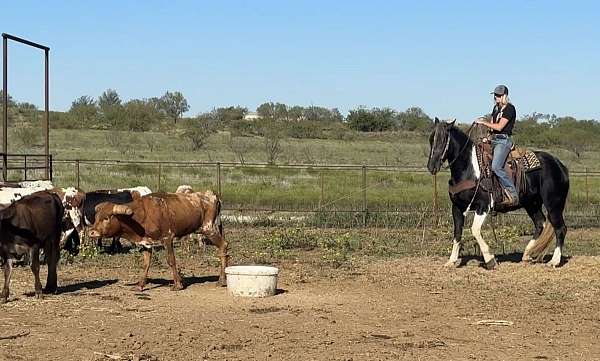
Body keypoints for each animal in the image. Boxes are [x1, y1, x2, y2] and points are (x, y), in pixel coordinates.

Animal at [89, 191, 227, 290]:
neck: (142, 214)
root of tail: (212, 195)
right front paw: (140, 285)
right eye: (96, 217)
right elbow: (146, 264)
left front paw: (178, 285)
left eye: (106, 218)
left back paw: (221, 280)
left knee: (223, 246)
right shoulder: (146, 243)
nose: (92, 232)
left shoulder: (167, 238)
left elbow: (171, 260)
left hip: (209, 229)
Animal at [426, 118, 568, 268]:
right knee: (540, 223)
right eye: (431, 139)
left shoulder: (483, 206)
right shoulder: (457, 207)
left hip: (553, 204)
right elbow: (457, 233)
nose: (431, 166)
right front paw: (451, 261)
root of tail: (559, 165)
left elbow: (475, 230)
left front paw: (490, 259)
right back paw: (527, 254)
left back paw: (554, 261)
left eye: (443, 139)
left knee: (560, 228)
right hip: (532, 204)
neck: (469, 168)